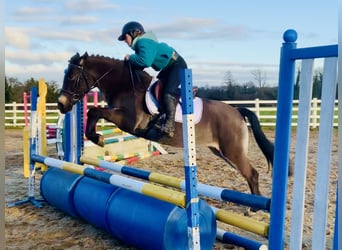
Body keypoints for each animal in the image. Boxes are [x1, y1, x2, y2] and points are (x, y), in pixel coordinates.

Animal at [58, 52, 276, 195]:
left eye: (72, 77)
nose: (61, 105)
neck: (125, 84)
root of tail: (237, 110)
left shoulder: (130, 122)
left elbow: (95, 111)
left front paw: (98, 139)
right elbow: (93, 112)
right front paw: (97, 137)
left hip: (232, 151)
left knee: (252, 174)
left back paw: (255, 210)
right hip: (221, 152)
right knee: (248, 174)